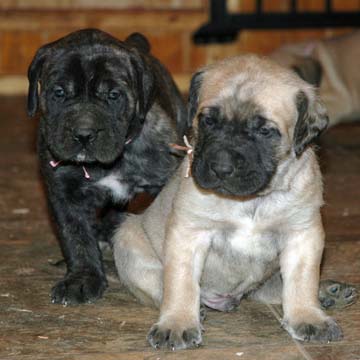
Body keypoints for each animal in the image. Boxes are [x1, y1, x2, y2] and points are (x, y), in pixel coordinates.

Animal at [26, 29, 187, 304]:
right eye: (59, 93)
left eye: (114, 95)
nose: (84, 133)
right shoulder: (64, 195)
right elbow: (76, 236)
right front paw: (82, 278)